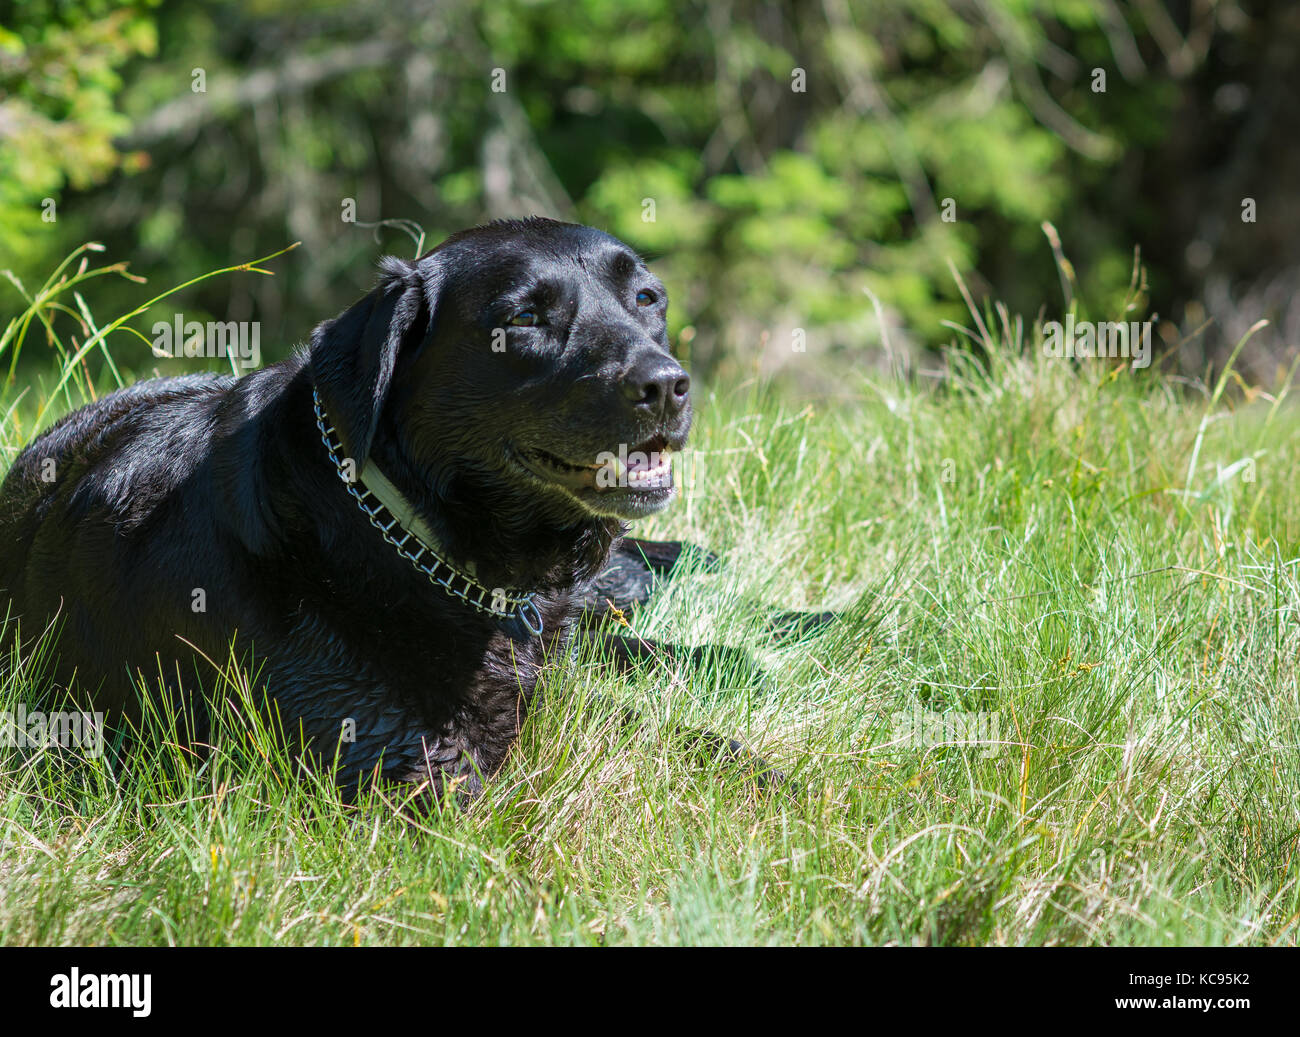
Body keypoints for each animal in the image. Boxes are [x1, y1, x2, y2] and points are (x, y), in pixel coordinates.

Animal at [0, 219, 821, 805]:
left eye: (647, 300)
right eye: (525, 318)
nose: (666, 385)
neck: (403, 540)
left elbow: (660, 729)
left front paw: (772, 777)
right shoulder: (406, 776)